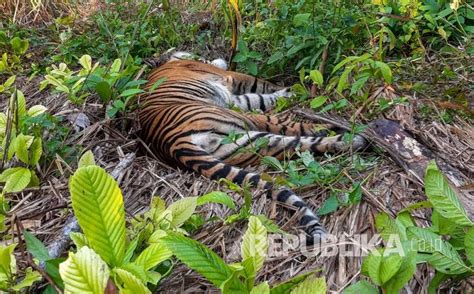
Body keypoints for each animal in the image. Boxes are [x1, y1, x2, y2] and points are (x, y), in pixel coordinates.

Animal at [137, 52, 366, 243]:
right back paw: (345, 132)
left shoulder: (237, 99)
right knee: (291, 128)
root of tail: (171, 142)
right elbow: (263, 86)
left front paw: (288, 91)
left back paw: (352, 139)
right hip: (245, 122)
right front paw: (293, 88)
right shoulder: (230, 77)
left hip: (246, 142)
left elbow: (259, 97)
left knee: (295, 144)